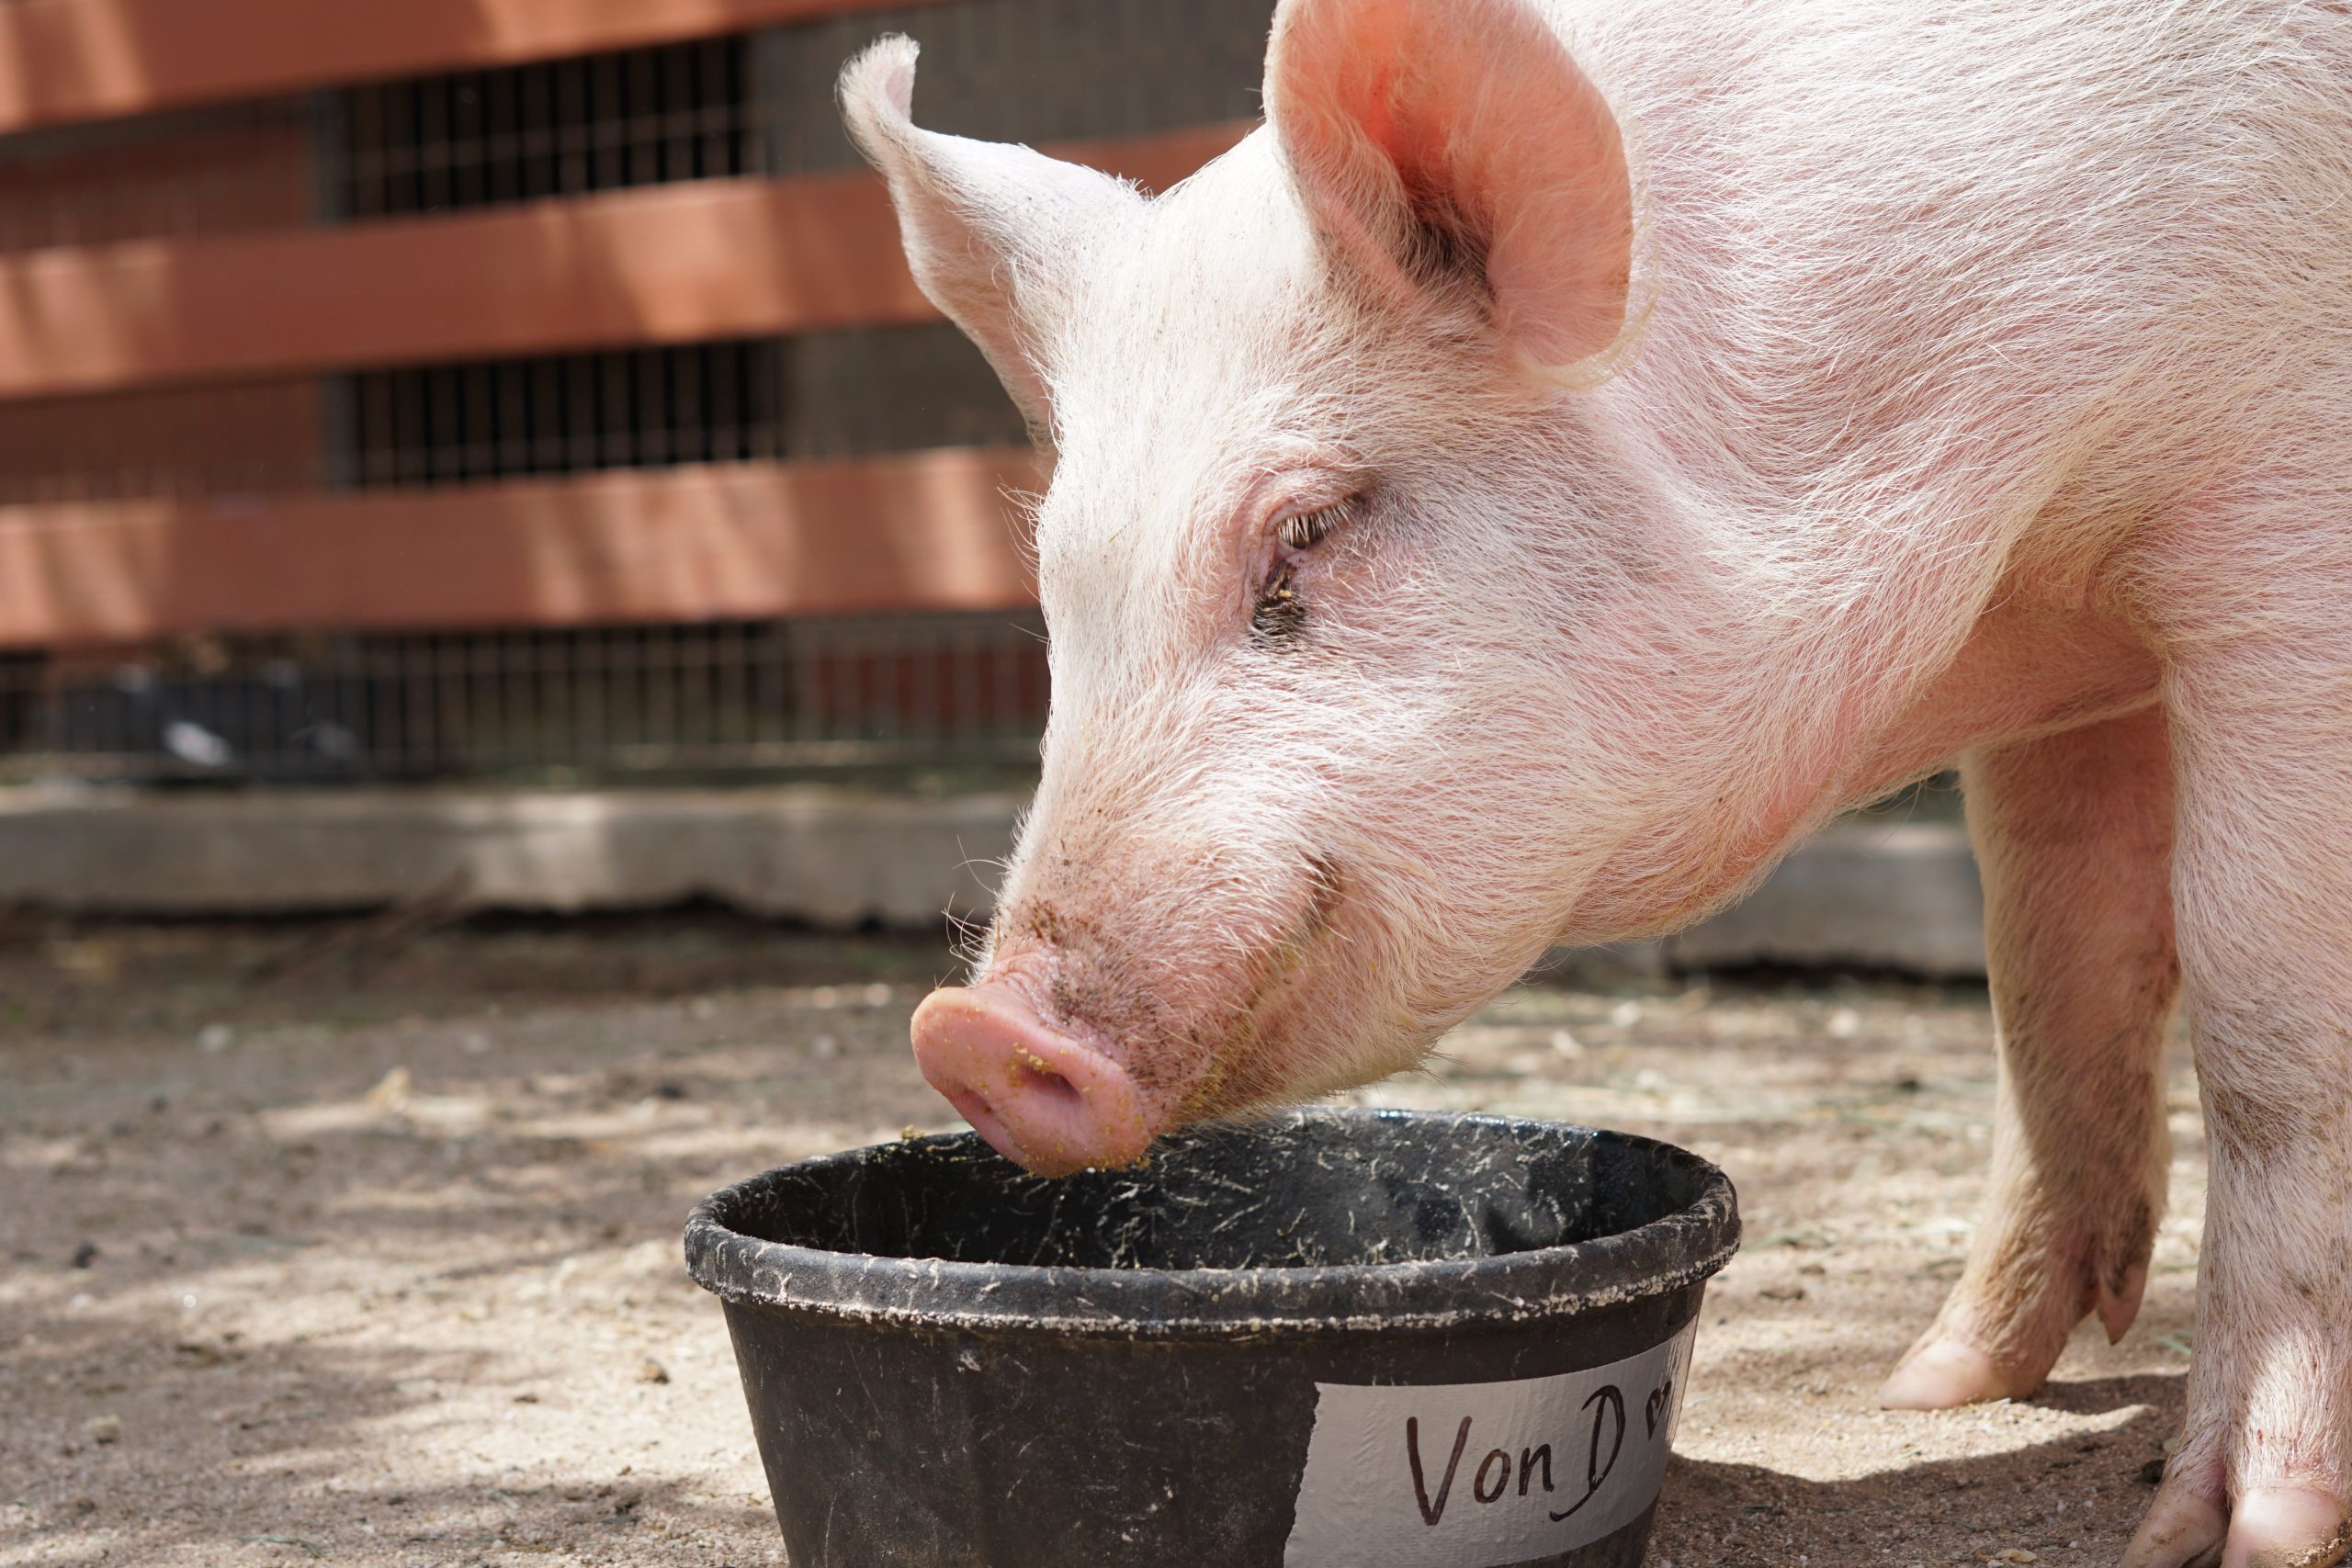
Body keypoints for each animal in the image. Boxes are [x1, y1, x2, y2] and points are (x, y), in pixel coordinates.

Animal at [846, 0, 2352, 1561]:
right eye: (1055, 585)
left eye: (1310, 526)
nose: (971, 1028)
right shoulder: (2068, 658)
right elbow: (2054, 967)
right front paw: (1934, 1384)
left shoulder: (2286, 517)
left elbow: (2263, 1015)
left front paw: (2229, 1530)